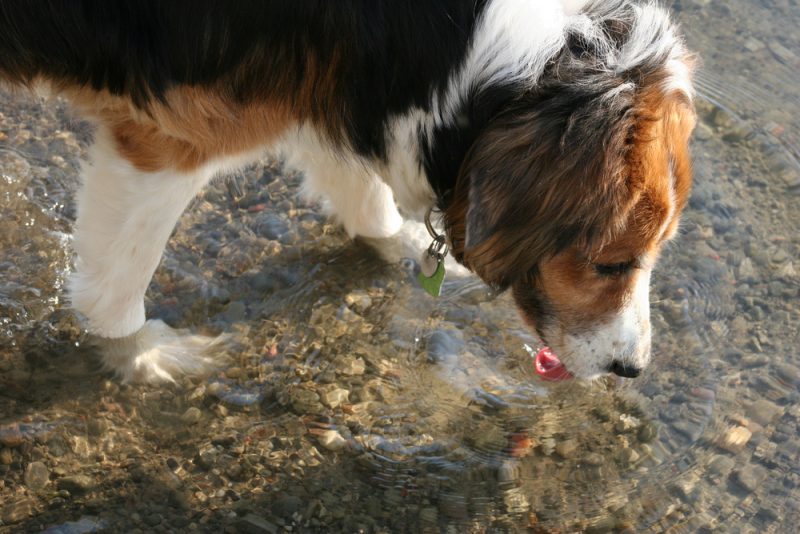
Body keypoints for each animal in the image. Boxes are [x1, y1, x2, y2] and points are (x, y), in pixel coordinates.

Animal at [0, 0, 692, 386]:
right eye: (611, 264)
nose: (633, 371)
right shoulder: (169, 140)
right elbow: (121, 276)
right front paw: (142, 356)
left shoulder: (333, 92)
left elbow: (364, 194)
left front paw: (407, 247)